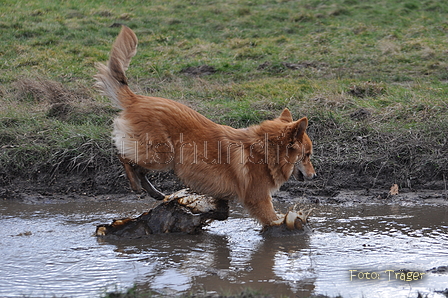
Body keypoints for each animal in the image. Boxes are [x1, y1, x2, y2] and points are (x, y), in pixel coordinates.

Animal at [96, 26, 316, 226]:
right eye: (306, 155)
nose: (314, 175)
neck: (266, 150)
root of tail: (137, 99)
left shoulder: (221, 192)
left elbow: (222, 212)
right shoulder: (258, 199)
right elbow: (273, 221)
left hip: (162, 158)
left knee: (138, 167)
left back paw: (155, 193)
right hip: (160, 156)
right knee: (125, 158)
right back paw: (135, 185)